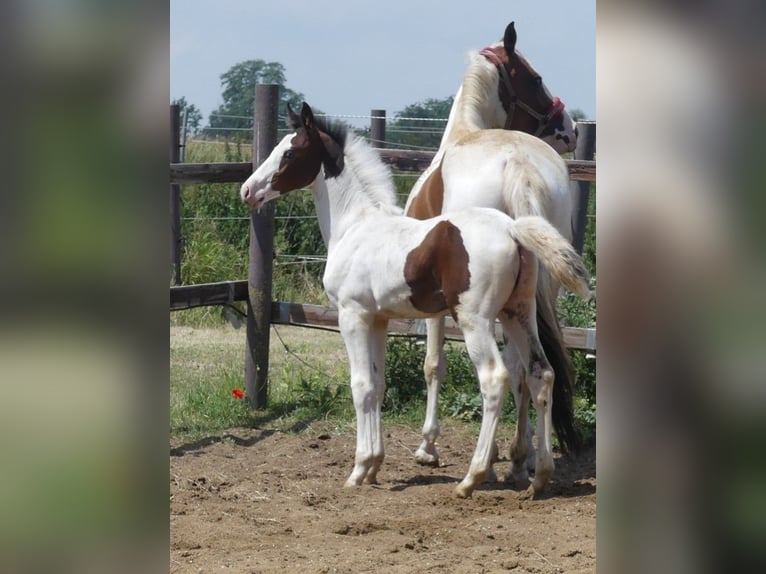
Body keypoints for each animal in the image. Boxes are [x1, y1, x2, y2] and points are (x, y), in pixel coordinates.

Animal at [240, 102, 590, 497]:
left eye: (289, 152)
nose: (247, 191)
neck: (356, 227)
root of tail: (513, 229)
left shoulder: (352, 316)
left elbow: (361, 386)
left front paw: (358, 469)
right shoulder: (378, 319)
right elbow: (378, 386)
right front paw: (374, 466)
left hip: (476, 319)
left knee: (495, 378)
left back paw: (472, 478)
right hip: (518, 313)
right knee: (539, 373)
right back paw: (540, 475)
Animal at [404, 21, 584, 471]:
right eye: (535, 79)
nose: (572, 128)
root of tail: (516, 164)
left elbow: (434, 364)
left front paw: (428, 446)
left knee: (509, 366)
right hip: (533, 288)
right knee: (526, 364)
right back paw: (525, 454)